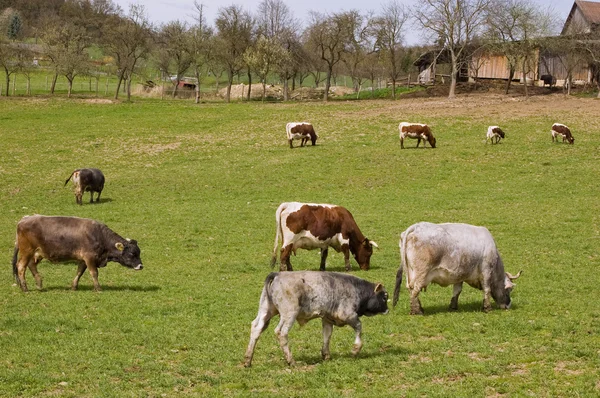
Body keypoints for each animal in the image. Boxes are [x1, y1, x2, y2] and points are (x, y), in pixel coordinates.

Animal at [12, 215, 144, 292]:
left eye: (138, 253)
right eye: (132, 254)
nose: (141, 266)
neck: (100, 236)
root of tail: (25, 218)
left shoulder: (83, 259)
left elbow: (79, 272)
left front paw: (74, 286)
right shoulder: (89, 257)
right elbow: (94, 273)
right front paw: (98, 288)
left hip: (37, 253)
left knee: (31, 265)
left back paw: (39, 283)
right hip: (26, 251)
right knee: (21, 267)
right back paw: (25, 288)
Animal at [244, 270, 390, 366]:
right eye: (384, 297)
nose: (387, 310)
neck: (356, 289)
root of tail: (278, 274)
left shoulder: (327, 319)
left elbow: (327, 336)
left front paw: (326, 355)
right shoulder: (349, 315)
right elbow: (359, 327)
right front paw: (355, 350)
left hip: (266, 310)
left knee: (256, 328)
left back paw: (248, 360)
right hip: (289, 314)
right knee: (281, 332)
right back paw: (291, 361)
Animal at [392, 221, 524, 314]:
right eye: (509, 289)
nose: (508, 305)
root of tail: (415, 227)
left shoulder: (459, 274)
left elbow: (457, 290)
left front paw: (453, 306)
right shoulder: (486, 271)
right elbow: (487, 289)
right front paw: (487, 308)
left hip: (410, 272)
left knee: (410, 289)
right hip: (421, 272)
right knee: (415, 290)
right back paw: (417, 311)